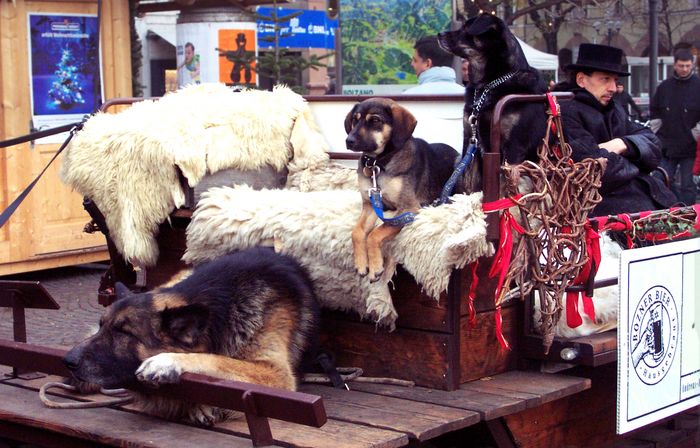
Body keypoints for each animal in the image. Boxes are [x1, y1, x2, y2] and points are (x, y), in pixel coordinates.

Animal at [344, 98, 460, 282]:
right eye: (355, 120)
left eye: (375, 120)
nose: (349, 140)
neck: (378, 164)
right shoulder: (370, 205)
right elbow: (357, 232)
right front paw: (361, 263)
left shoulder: (408, 208)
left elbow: (376, 233)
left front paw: (375, 267)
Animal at [438, 13, 548, 191]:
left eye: (466, 28)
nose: (439, 34)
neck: (488, 85)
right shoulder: (470, 142)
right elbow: (467, 185)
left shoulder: (513, 148)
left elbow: (504, 186)